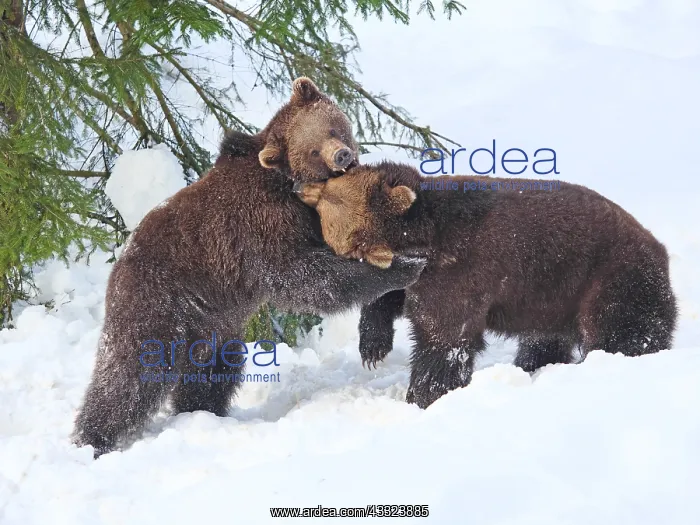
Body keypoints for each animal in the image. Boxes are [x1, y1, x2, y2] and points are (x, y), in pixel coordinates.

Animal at [72, 79, 426, 456]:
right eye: (314, 151)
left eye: (333, 128)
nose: (341, 155)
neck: (285, 182)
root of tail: (118, 263)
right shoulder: (262, 224)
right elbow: (306, 277)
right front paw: (402, 266)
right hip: (158, 303)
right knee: (131, 373)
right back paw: (92, 439)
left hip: (213, 322)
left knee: (214, 371)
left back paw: (201, 411)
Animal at [296, 162, 678, 408]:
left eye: (329, 189)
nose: (299, 186)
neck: (421, 237)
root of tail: (660, 250)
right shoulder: (416, 273)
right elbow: (388, 294)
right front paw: (373, 347)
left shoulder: (460, 272)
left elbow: (445, 340)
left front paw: (424, 395)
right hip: (553, 296)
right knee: (543, 340)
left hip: (610, 279)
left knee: (622, 331)